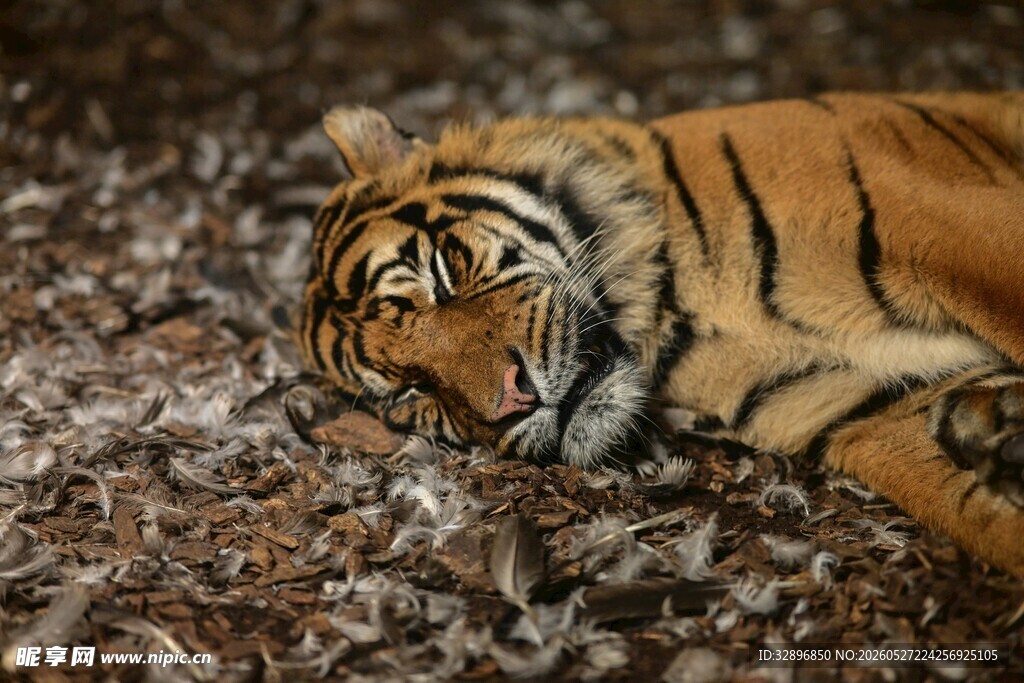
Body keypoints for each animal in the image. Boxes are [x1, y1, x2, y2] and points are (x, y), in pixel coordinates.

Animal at [297, 92, 1024, 576]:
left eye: (442, 274)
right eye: (410, 391)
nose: (512, 402)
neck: (679, 316)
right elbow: (980, 516)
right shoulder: (870, 408)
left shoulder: (940, 221)